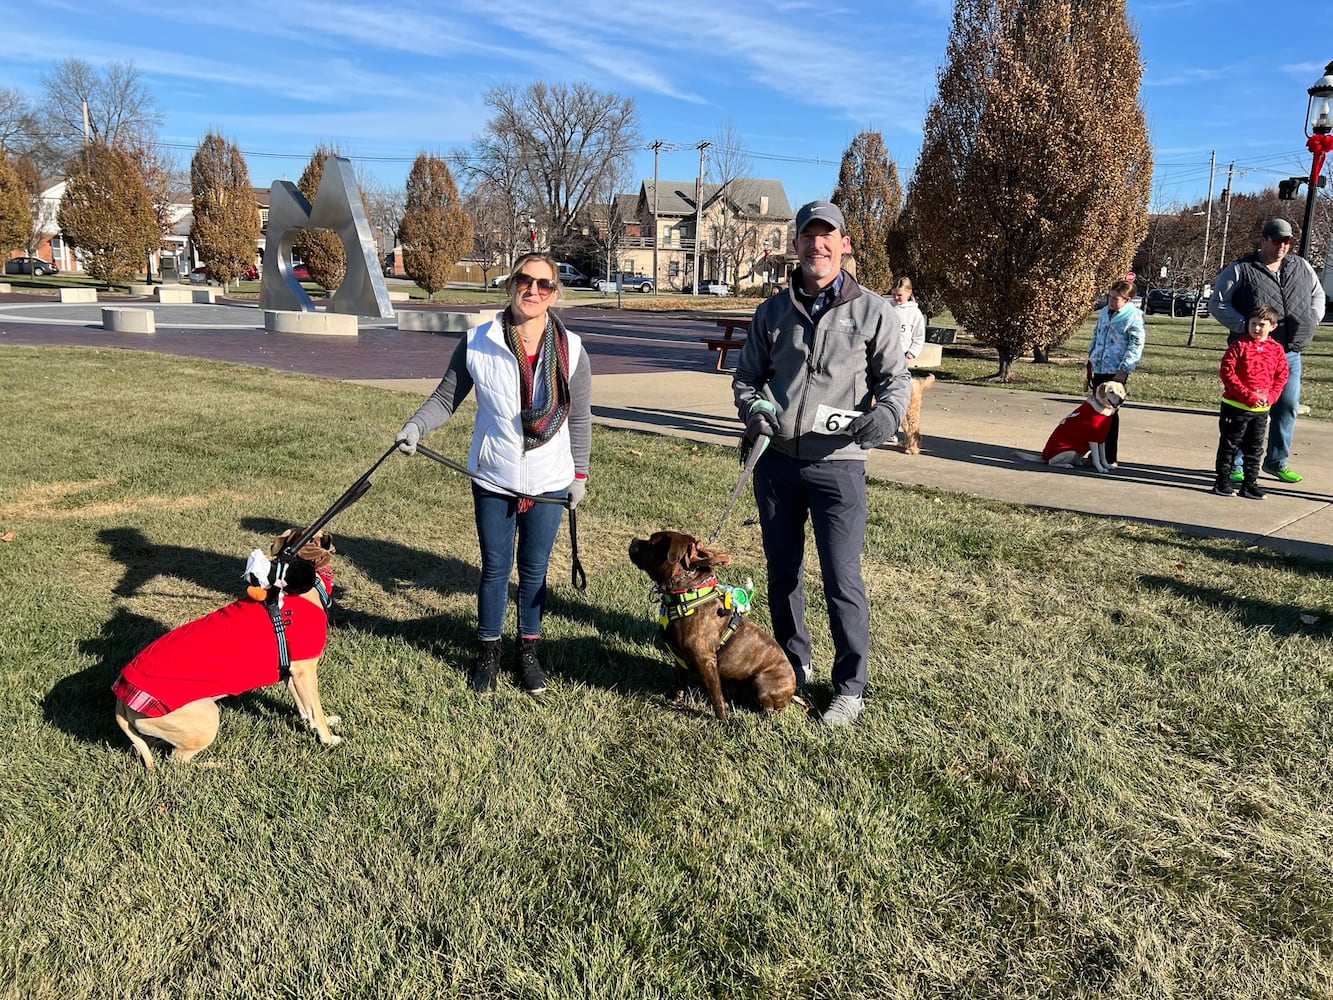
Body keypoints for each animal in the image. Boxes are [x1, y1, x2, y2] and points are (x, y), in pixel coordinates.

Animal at [112, 528, 341, 773]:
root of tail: (121, 695)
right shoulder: (304, 671)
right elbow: (315, 708)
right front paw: (327, 738)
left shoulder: (291, 672)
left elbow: (304, 706)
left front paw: (318, 723)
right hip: (206, 718)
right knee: (178, 762)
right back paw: (219, 764)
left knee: (146, 745)